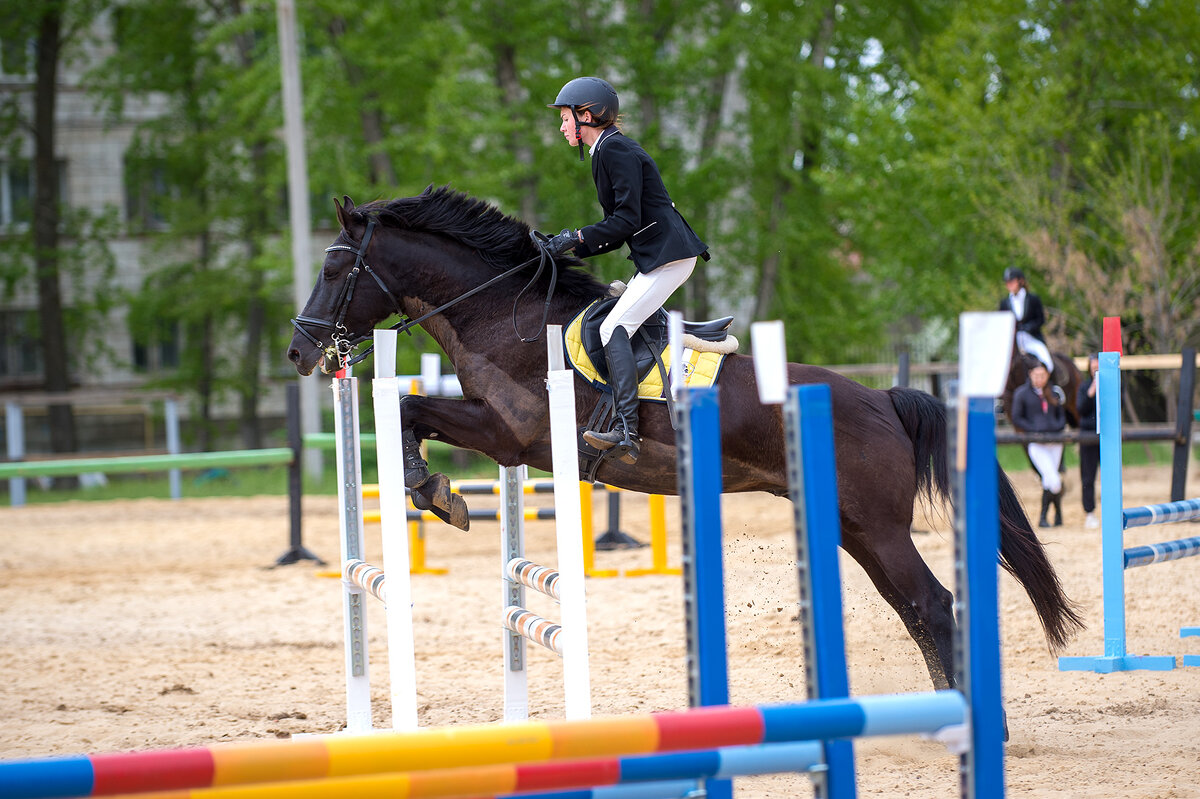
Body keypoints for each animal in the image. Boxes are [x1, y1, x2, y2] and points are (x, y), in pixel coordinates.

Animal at [285, 187, 1084, 691]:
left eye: (333, 266)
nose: (299, 352)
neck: (500, 310)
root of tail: (884, 398)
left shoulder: (511, 435)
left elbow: (411, 409)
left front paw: (435, 491)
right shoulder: (505, 435)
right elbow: (412, 411)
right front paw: (436, 490)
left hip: (878, 529)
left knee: (933, 605)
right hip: (854, 529)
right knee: (917, 610)